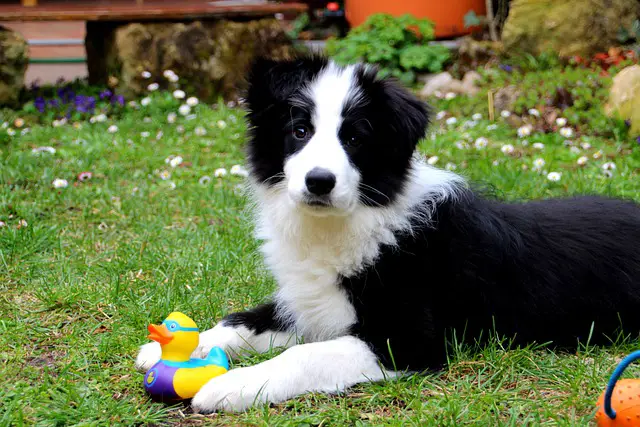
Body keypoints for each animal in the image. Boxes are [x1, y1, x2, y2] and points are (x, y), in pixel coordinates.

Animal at [135, 54, 640, 414]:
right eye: (299, 130)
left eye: (355, 138)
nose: (319, 182)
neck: (355, 220)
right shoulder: (309, 303)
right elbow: (241, 320)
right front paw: (168, 345)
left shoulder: (408, 341)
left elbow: (305, 356)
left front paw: (231, 385)